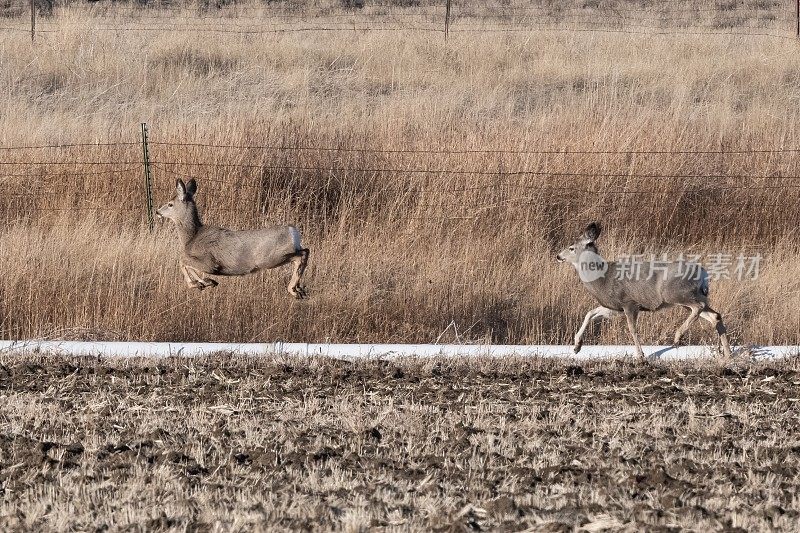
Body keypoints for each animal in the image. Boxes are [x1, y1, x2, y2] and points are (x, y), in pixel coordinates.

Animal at [155, 177, 310, 298]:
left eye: (170, 204)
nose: (157, 211)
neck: (191, 237)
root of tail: (293, 231)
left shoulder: (210, 262)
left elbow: (182, 260)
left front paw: (199, 283)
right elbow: (186, 263)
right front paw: (205, 282)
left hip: (272, 257)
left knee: (301, 255)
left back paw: (293, 290)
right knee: (305, 251)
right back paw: (299, 289)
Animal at [556, 220, 732, 358]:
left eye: (571, 247)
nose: (558, 256)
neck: (602, 278)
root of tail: (703, 273)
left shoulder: (629, 302)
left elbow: (632, 329)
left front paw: (640, 355)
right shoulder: (615, 307)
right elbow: (590, 313)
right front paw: (576, 346)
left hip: (675, 293)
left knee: (699, 308)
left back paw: (677, 337)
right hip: (694, 296)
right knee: (715, 316)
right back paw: (727, 355)